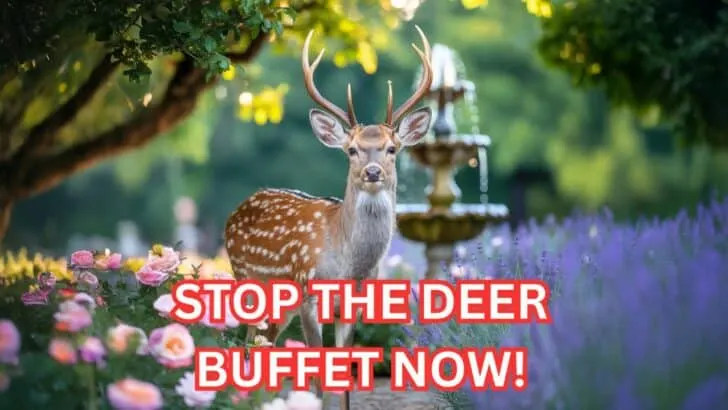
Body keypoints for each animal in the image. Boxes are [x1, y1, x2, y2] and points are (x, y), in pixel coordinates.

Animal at [224, 26, 433, 408]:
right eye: (351, 150)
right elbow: (318, 375)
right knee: (247, 344)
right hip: (247, 280)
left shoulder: (354, 307)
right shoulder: (308, 293)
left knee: (264, 345)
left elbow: (345, 375)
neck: (348, 267)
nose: (372, 172)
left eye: (392, 148)